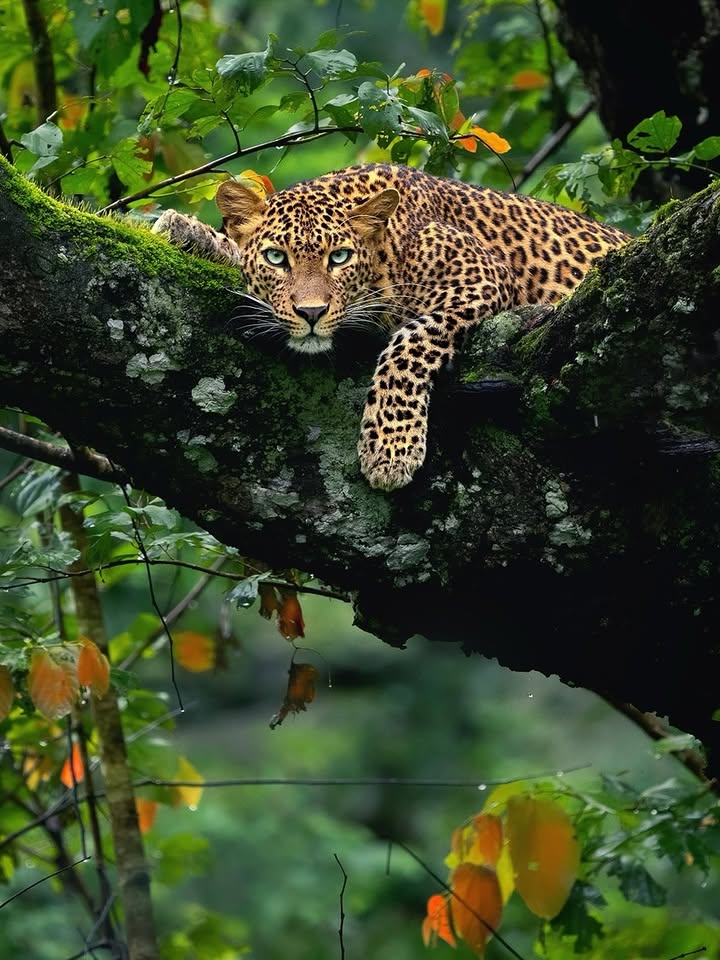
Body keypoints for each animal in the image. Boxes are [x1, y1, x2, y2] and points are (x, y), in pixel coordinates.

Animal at [153, 163, 628, 490]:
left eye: (339, 257)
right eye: (275, 258)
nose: (311, 313)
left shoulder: (481, 276)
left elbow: (410, 343)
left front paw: (390, 449)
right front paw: (188, 231)